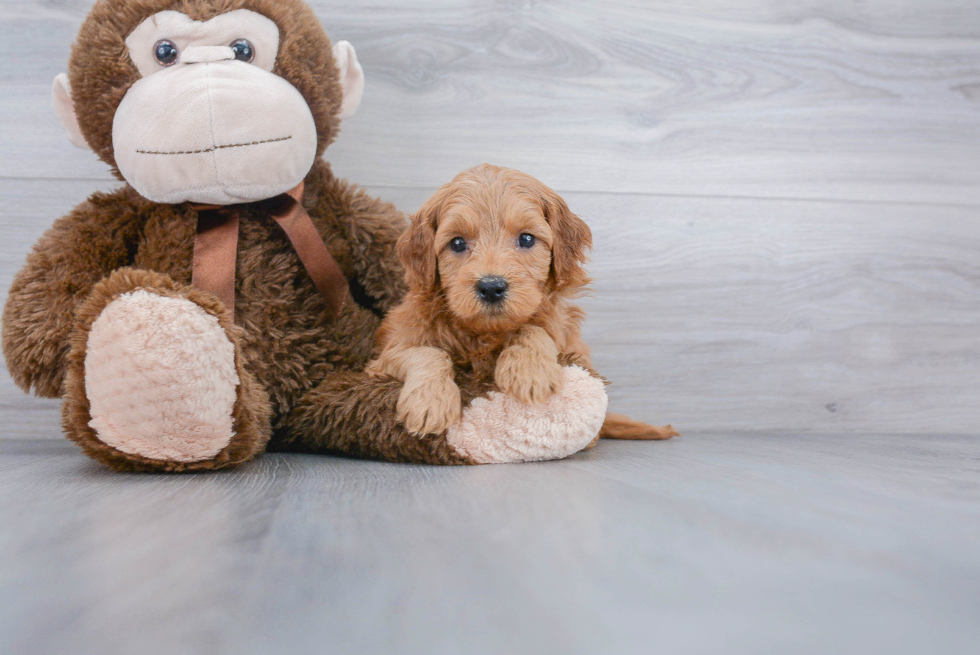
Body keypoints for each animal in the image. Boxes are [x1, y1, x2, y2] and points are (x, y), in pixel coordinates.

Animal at [364, 164, 676, 444]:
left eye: (526, 238)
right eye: (457, 243)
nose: (491, 287)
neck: (486, 335)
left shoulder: (572, 346)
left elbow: (535, 329)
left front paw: (530, 371)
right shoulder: (382, 360)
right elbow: (426, 353)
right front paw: (430, 402)